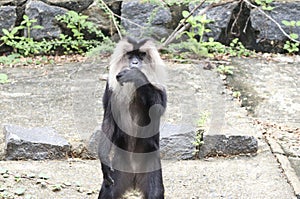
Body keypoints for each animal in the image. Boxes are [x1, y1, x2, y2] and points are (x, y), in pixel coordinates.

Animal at [99, 37, 168, 199]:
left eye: (141, 55)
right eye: (130, 55)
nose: (135, 63)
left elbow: (158, 108)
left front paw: (137, 76)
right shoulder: (109, 87)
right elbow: (109, 121)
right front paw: (104, 163)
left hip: (150, 165)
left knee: (156, 192)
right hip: (119, 169)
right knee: (107, 191)